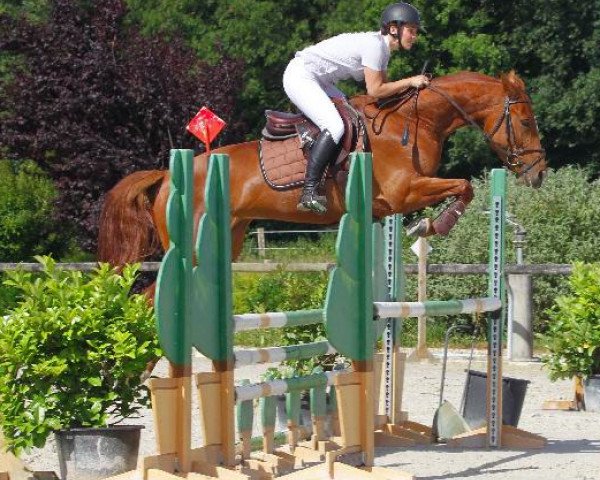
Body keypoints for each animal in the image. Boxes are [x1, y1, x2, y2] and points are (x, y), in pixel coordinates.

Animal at [98, 71, 548, 268]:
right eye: (526, 122)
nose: (539, 174)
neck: (414, 121)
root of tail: (166, 175)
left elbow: (462, 187)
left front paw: (426, 226)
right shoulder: (404, 191)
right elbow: (464, 186)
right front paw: (431, 226)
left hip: (229, 238)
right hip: (189, 246)